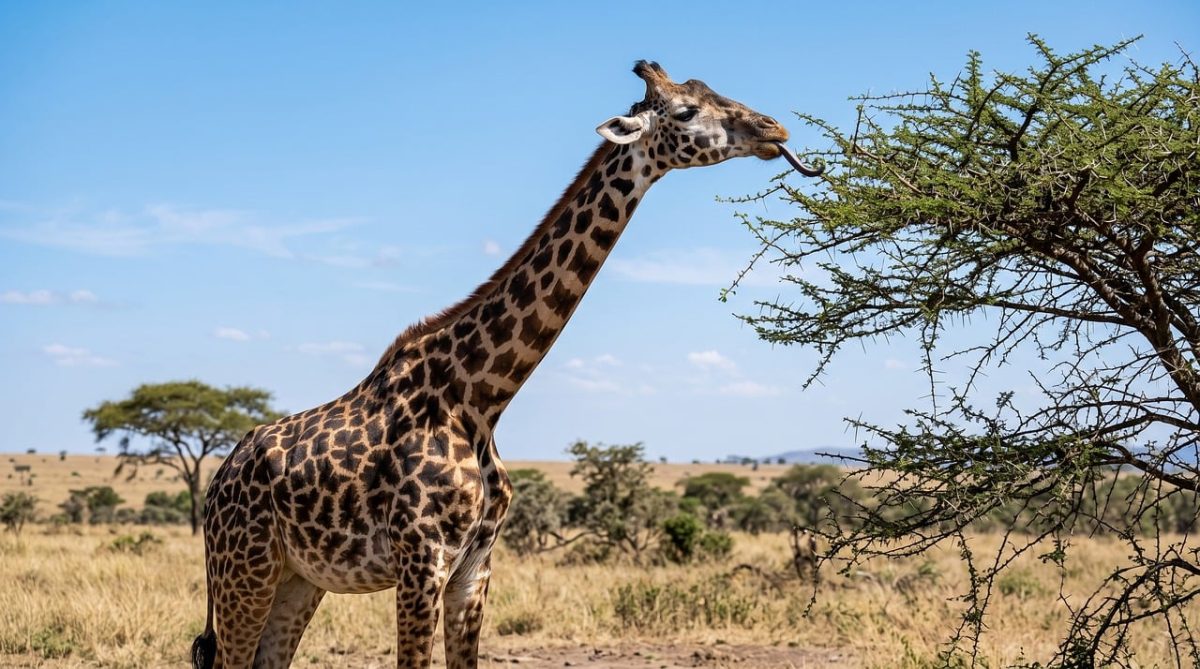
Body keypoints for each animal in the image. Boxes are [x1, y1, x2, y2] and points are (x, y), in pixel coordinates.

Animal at [192, 60, 814, 669]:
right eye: (686, 111)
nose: (774, 129)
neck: (480, 397)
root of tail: (217, 482)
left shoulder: (474, 567)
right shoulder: (421, 563)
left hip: (298, 578)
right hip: (244, 569)